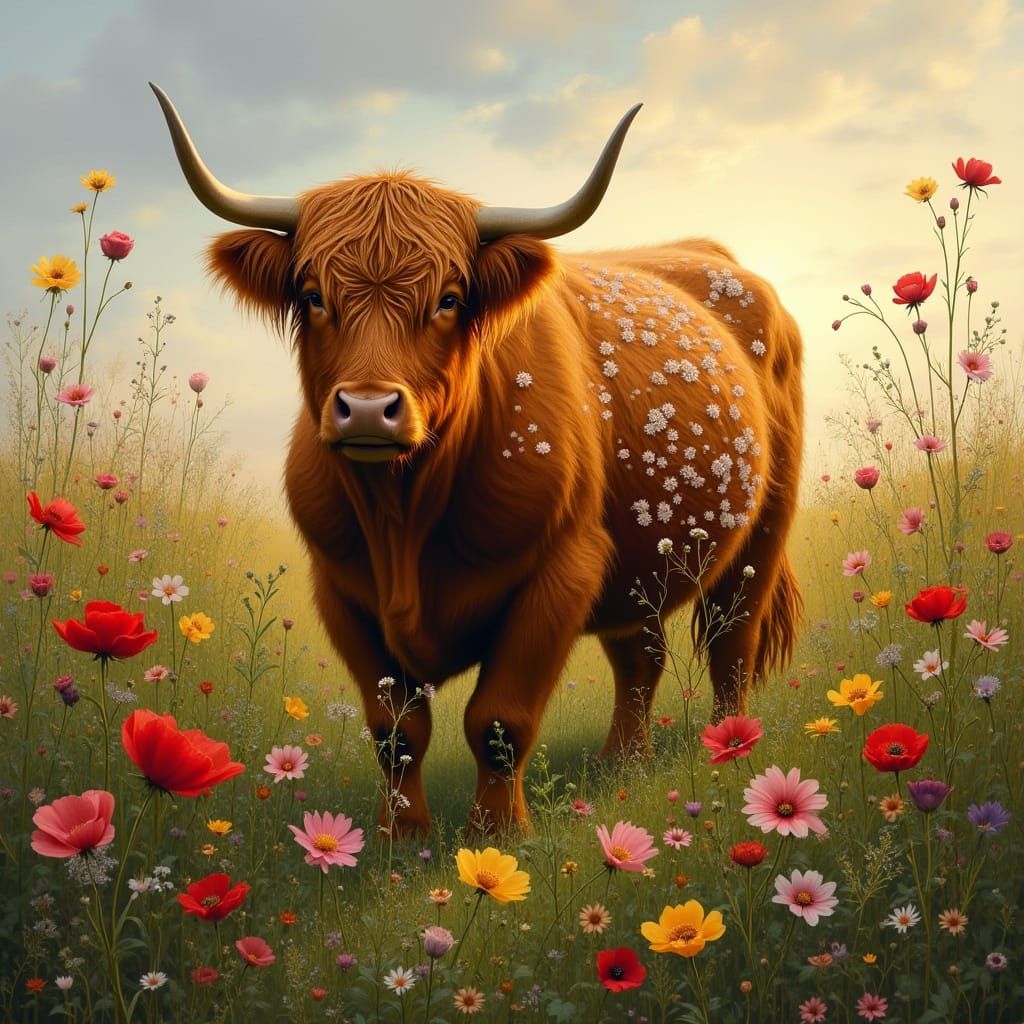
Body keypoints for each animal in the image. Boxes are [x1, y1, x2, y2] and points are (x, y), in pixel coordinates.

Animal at [152, 83, 803, 835]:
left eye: (450, 298)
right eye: (312, 295)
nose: (368, 408)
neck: (403, 519)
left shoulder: (561, 574)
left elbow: (499, 721)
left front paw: (496, 834)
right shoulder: (339, 588)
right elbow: (395, 730)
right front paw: (401, 839)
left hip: (762, 531)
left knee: (732, 644)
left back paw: (728, 749)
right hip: (643, 557)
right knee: (640, 656)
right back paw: (622, 764)